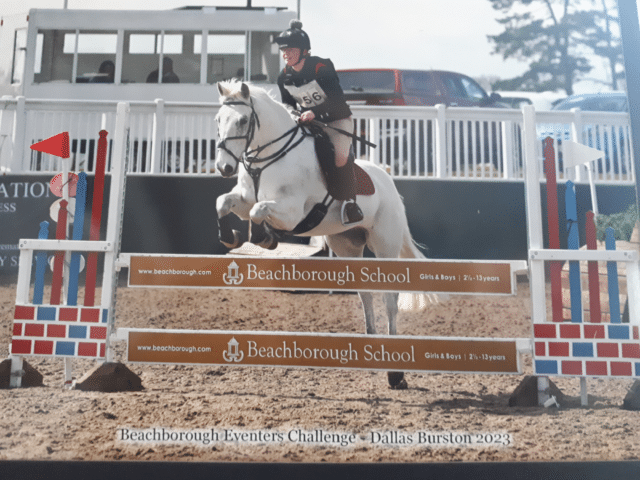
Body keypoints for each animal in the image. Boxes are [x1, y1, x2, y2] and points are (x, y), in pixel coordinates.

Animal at [216, 81, 436, 390]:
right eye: (218, 120)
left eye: (243, 121)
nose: (224, 167)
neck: (268, 158)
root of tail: (389, 183)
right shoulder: (244, 200)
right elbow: (224, 202)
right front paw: (232, 236)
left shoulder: (291, 211)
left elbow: (261, 209)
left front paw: (265, 238)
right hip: (347, 246)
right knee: (365, 294)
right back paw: (372, 348)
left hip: (385, 244)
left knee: (390, 299)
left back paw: (396, 373)